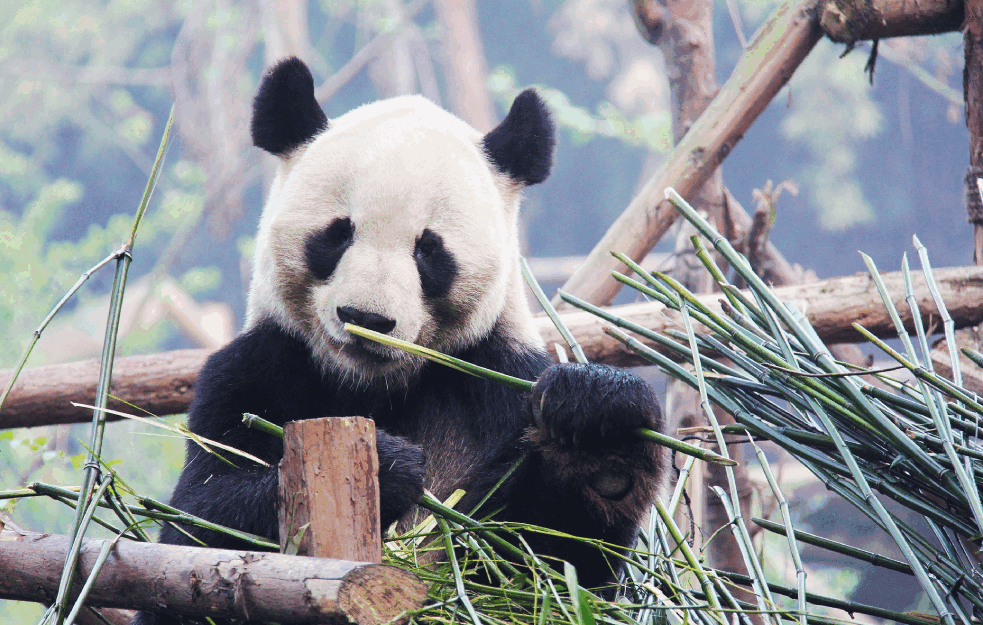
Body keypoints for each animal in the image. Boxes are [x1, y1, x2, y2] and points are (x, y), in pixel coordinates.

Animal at [133, 57, 668, 624]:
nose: (365, 317)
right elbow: (192, 529)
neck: (374, 386)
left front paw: (598, 427)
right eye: (338, 233)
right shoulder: (255, 368)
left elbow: (550, 568)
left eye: (428, 250)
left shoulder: (499, 378)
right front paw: (388, 467)